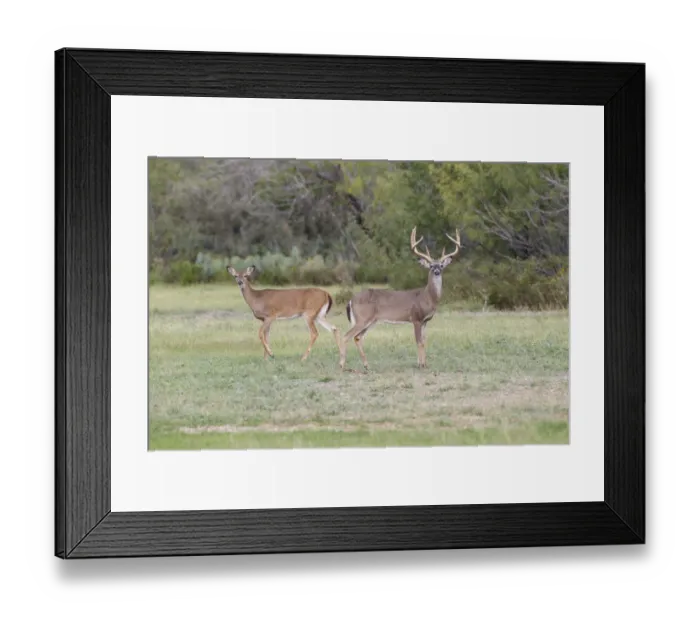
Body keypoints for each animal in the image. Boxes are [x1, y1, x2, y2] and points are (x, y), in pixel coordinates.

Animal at [338, 226, 461, 371]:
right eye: (431, 266)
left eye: (441, 265)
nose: (437, 271)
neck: (427, 297)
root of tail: (350, 301)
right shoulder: (416, 318)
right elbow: (419, 342)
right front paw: (421, 364)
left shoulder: (425, 321)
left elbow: (424, 341)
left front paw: (424, 363)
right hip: (362, 319)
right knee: (346, 336)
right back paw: (342, 365)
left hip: (369, 321)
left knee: (357, 337)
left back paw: (366, 365)